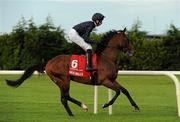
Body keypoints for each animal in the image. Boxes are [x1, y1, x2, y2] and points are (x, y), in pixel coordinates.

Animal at [5, 27, 140, 116]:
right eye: (127, 39)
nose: (133, 51)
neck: (107, 58)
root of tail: (48, 62)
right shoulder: (104, 81)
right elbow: (117, 91)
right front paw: (105, 105)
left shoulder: (112, 79)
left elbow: (125, 91)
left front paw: (136, 107)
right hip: (64, 79)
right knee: (65, 97)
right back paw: (80, 108)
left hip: (61, 81)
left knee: (64, 97)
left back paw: (74, 112)